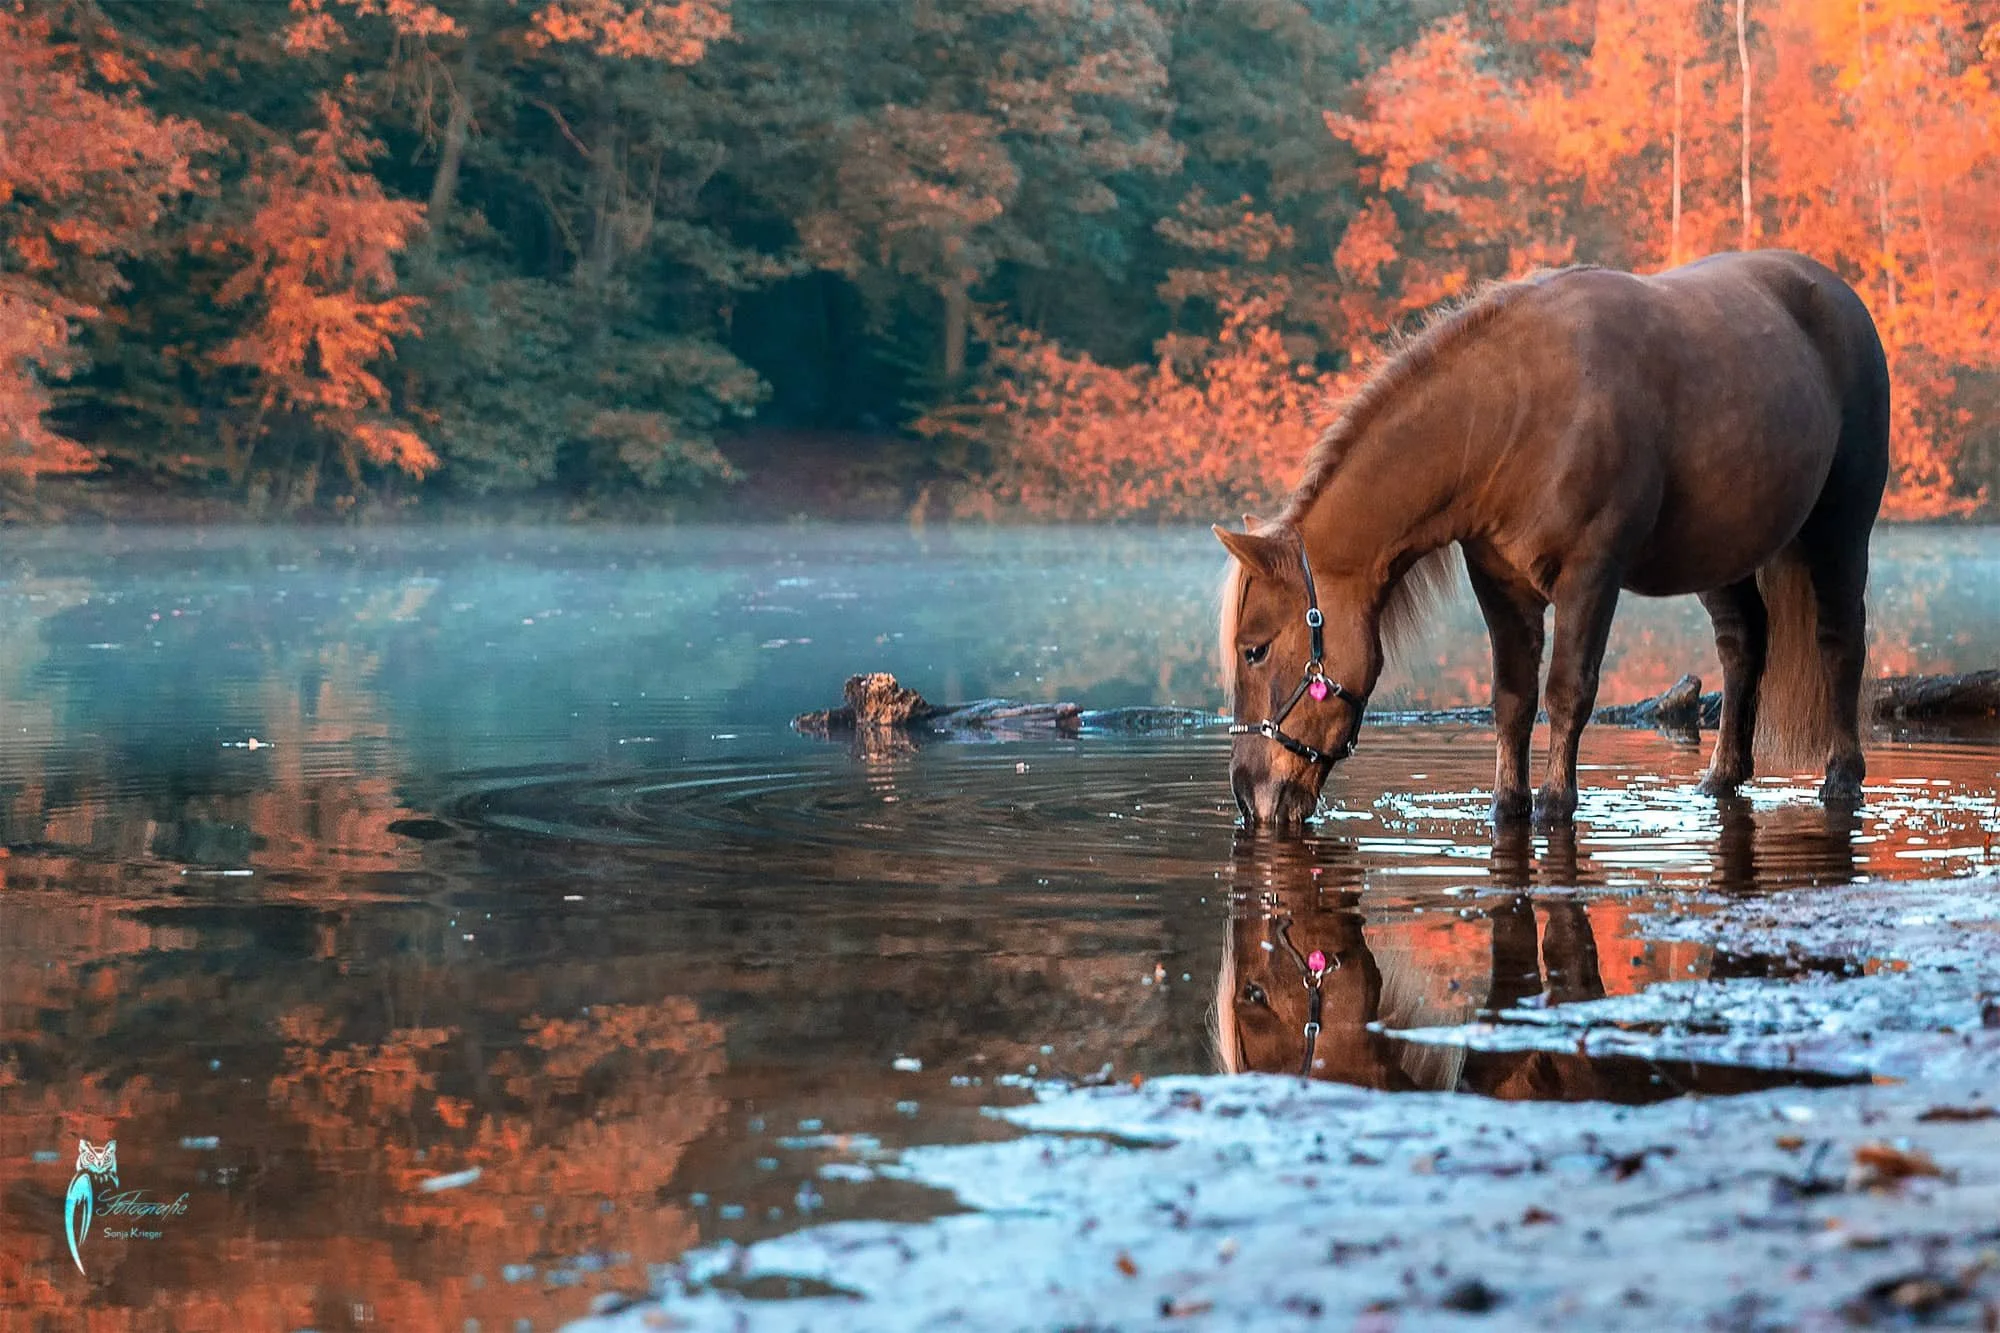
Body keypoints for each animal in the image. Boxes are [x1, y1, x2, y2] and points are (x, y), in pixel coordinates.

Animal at [1216, 249, 1890, 828]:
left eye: (1255, 650)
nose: (1249, 795)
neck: (1512, 419)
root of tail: (1835, 293)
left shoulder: (1591, 576)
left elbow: (1568, 692)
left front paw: (1555, 803)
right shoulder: (1499, 585)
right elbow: (1513, 699)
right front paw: (1508, 804)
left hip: (1841, 529)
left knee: (1839, 642)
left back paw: (1842, 776)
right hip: (1721, 557)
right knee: (1743, 646)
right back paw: (1721, 778)